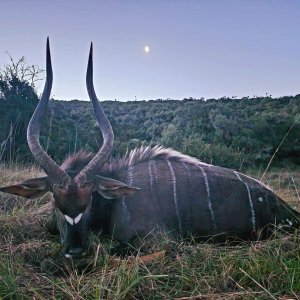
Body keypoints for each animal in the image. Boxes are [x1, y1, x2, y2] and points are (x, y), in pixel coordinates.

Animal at [0, 38, 300, 258]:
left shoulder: (156, 241)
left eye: (90, 200)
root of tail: (288, 211)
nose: (75, 251)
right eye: (54, 199)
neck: (116, 199)